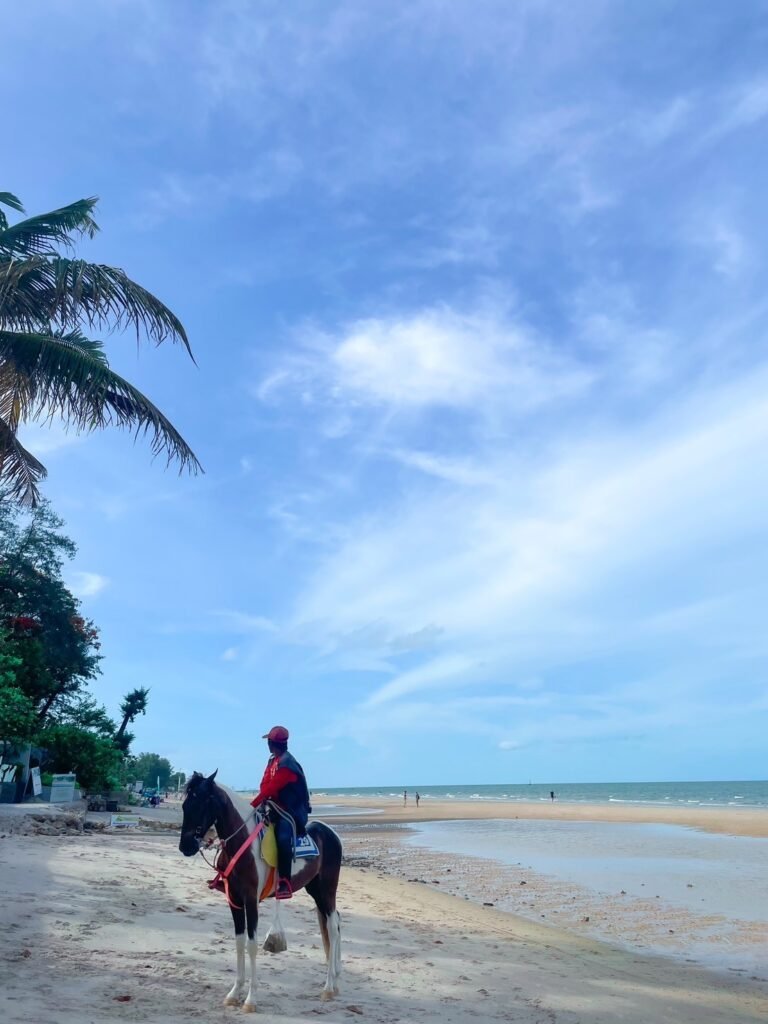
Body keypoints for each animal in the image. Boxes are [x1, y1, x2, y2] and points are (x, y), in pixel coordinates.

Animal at [180, 770, 342, 1007]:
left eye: (200, 803)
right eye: (184, 805)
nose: (185, 846)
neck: (242, 844)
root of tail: (330, 832)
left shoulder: (250, 900)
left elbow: (252, 944)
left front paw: (250, 998)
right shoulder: (234, 901)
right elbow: (239, 943)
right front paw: (234, 992)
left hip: (328, 889)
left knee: (332, 928)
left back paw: (329, 987)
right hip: (316, 891)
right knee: (334, 924)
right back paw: (336, 977)